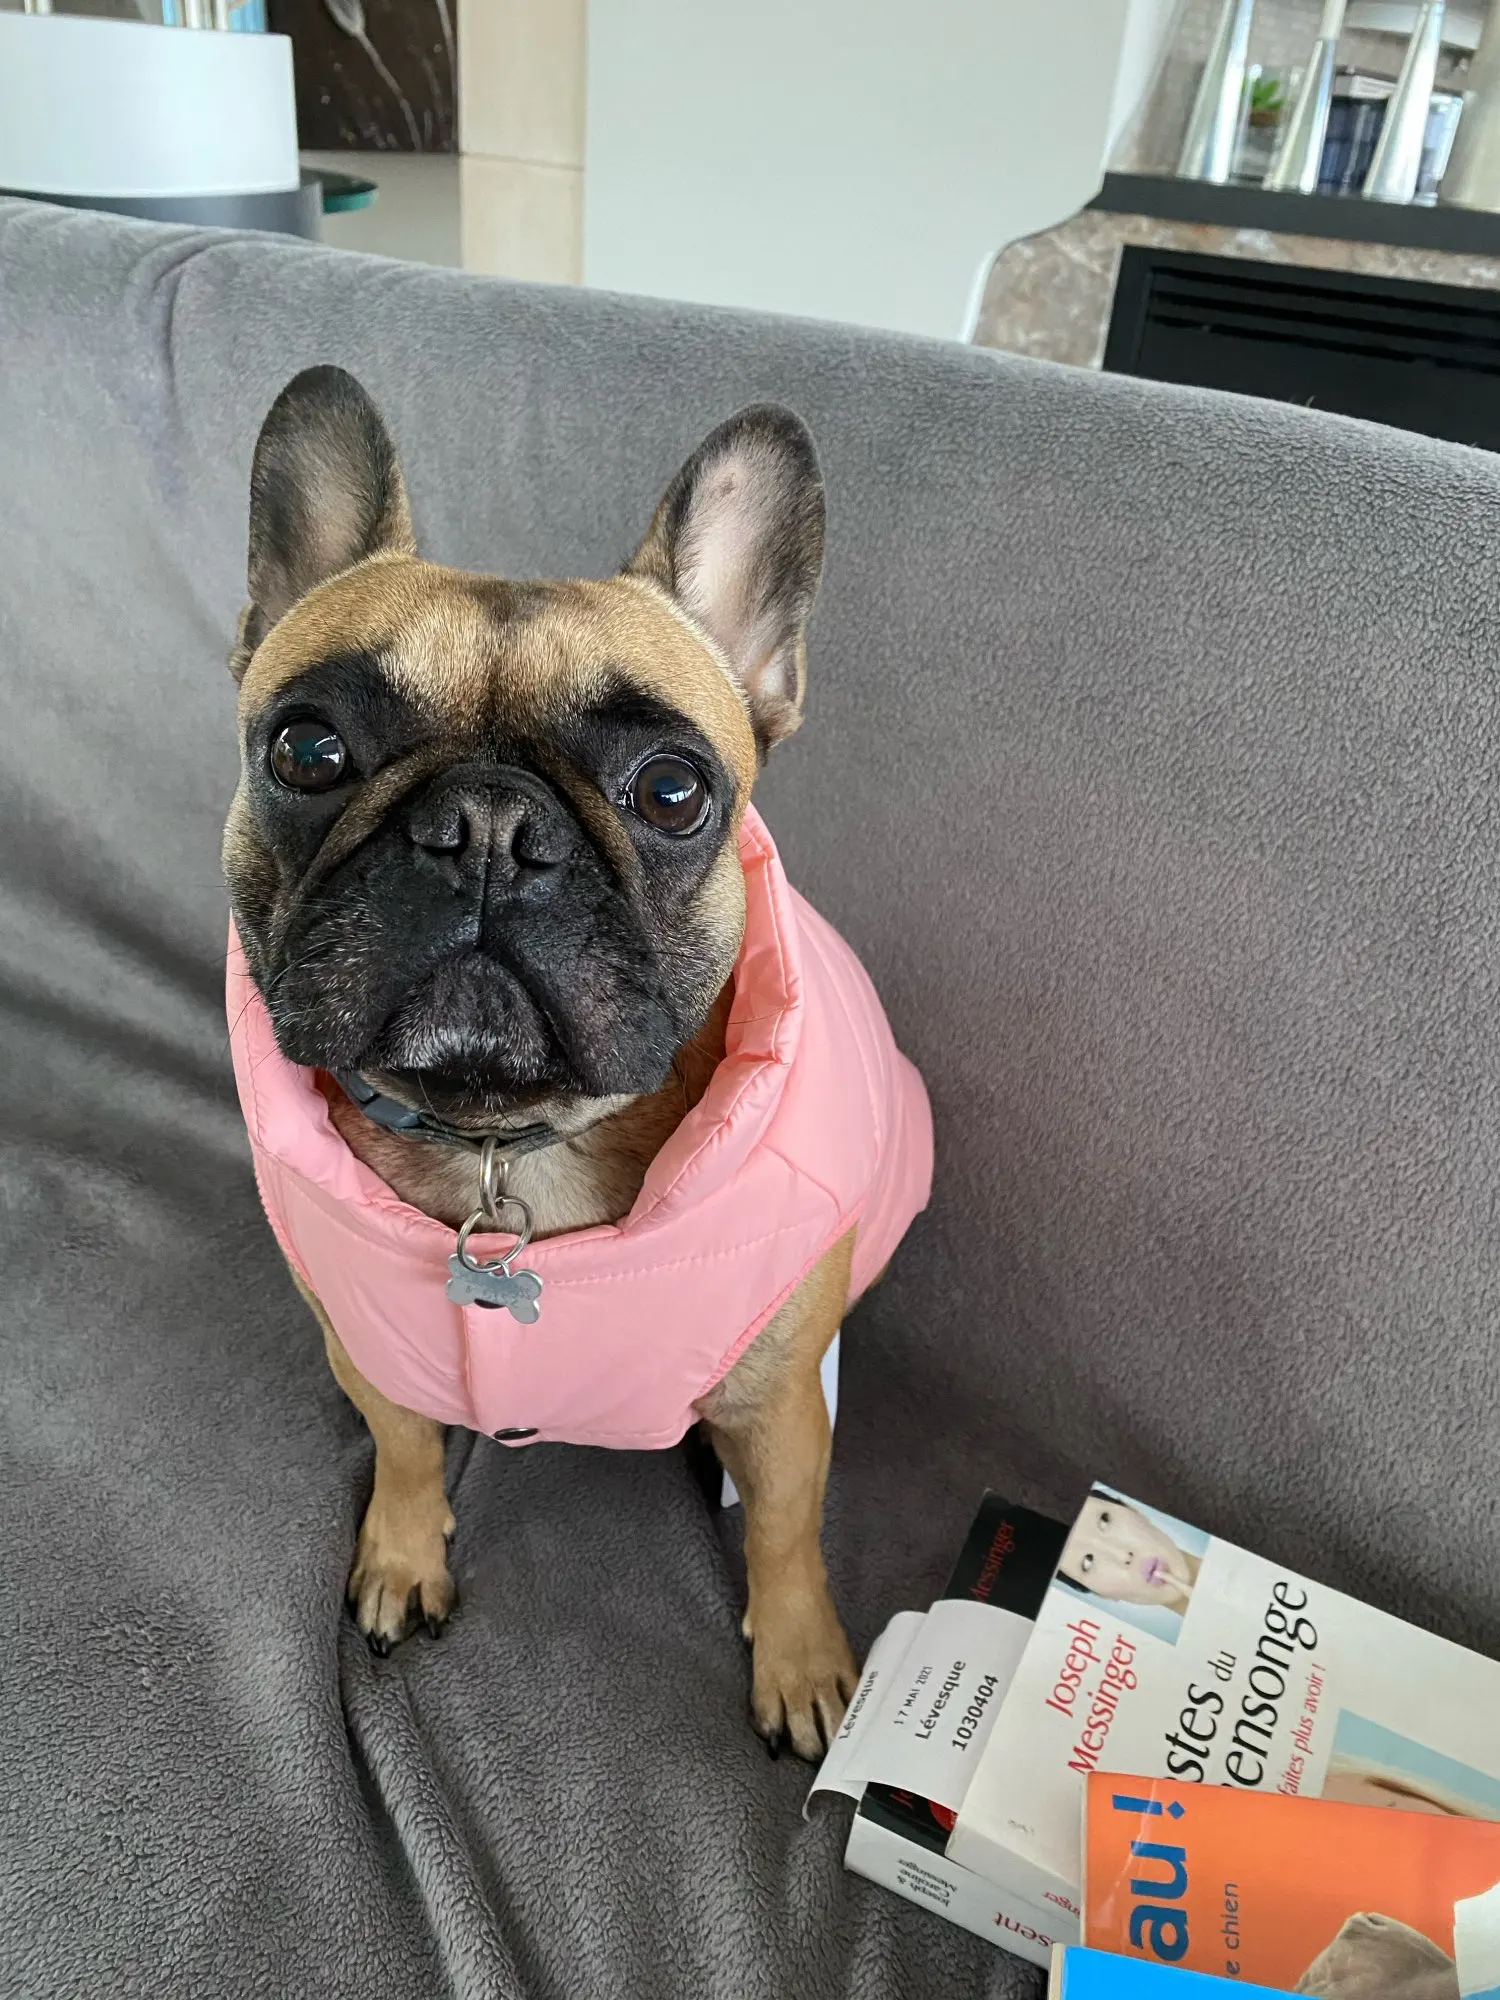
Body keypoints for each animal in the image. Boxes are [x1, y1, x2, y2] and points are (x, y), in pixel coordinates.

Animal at [222, 367, 932, 1760]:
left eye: (671, 789)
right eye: (307, 749)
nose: (487, 825)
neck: (510, 1143)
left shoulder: (777, 1405)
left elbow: (785, 1531)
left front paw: (804, 1660)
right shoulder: (365, 1344)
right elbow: (403, 1447)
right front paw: (403, 1550)